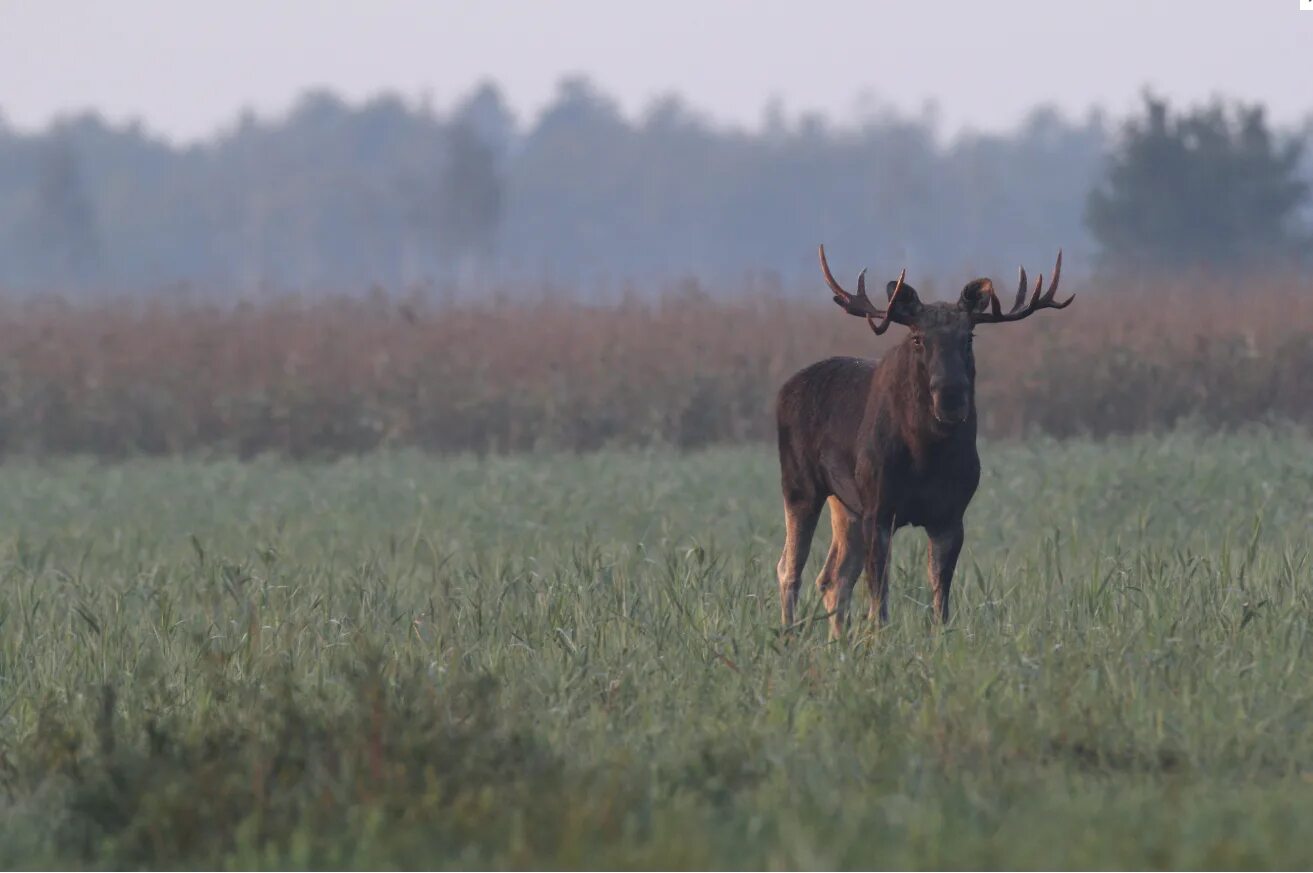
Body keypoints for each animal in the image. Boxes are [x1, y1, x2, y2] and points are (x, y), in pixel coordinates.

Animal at [772, 241, 1071, 638]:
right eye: (917, 338)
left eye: (969, 337)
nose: (951, 397)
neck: (926, 455)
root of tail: (784, 389)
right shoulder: (879, 509)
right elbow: (879, 600)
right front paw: (878, 642)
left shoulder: (950, 515)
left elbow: (940, 598)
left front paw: (938, 639)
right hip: (800, 485)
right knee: (790, 569)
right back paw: (788, 637)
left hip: (845, 504)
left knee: (833, 577)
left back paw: (837, 641)